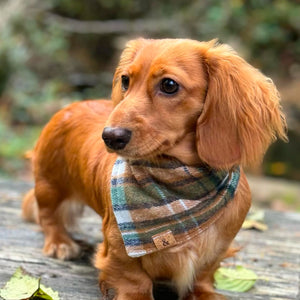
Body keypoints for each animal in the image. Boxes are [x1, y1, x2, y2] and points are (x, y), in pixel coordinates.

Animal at [22, 38, 288, 298]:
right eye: (125, 80)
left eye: (169, 85)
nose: (109, 137)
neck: (180, 188)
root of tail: (69, 106)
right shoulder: (118, 246)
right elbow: (134, 280)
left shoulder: (217, 248)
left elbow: (203, 277)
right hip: (50, 184)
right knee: (48, 215)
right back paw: (61, 243)